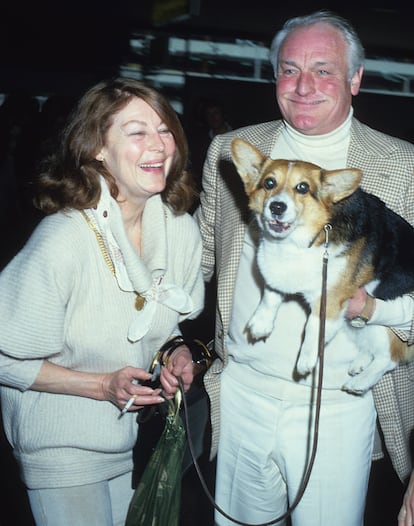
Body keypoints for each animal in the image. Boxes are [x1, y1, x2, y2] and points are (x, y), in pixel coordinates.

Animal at [231, 138, 414, 394]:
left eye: (302, 187)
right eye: (269, 183)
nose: (276, 207)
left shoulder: (328, 302)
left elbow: (312, 330)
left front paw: (306, 360)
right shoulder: (277, 277)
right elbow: (270, 296)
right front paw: (261, 324)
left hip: (385, 325)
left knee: (388, 358)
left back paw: (360, 382)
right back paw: (359, 364)